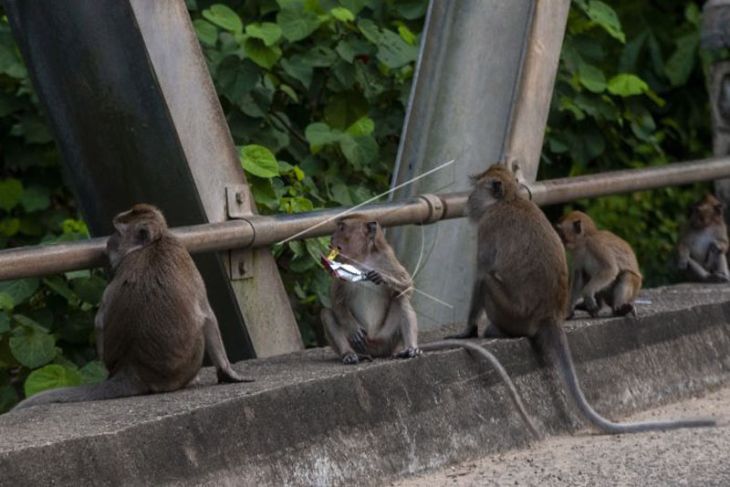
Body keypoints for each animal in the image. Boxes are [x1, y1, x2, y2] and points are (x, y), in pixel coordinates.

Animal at [10, 203, 250, 412]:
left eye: (117, 231)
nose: (109, 240)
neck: (153, 243)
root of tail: (132, 369)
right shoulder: (184, 257)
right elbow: (207, 316)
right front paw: (228, 373)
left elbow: (100, 321)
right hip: (184, 368)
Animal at [320, 215, 540, 440]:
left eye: (342, 228)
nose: (331, 238)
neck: (362, 259)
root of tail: (379, 350)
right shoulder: (340, 268)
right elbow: (336, 302)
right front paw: (352, 328)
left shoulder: (386, 259)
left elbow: (407, 287)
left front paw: (383, 279)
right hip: (368, 343)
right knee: (327, 313)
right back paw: (349, 354)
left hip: (388, 338)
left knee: (401, 302)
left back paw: (411, 348)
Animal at [444, 166, 712, 436]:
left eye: (477, 188)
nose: (468, 201)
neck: (510, 200)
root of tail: (550, 316)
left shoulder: (488, 226)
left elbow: (481, 275)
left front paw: (467, 331)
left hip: (513, 315)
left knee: (489, 280)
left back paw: (496, 330)